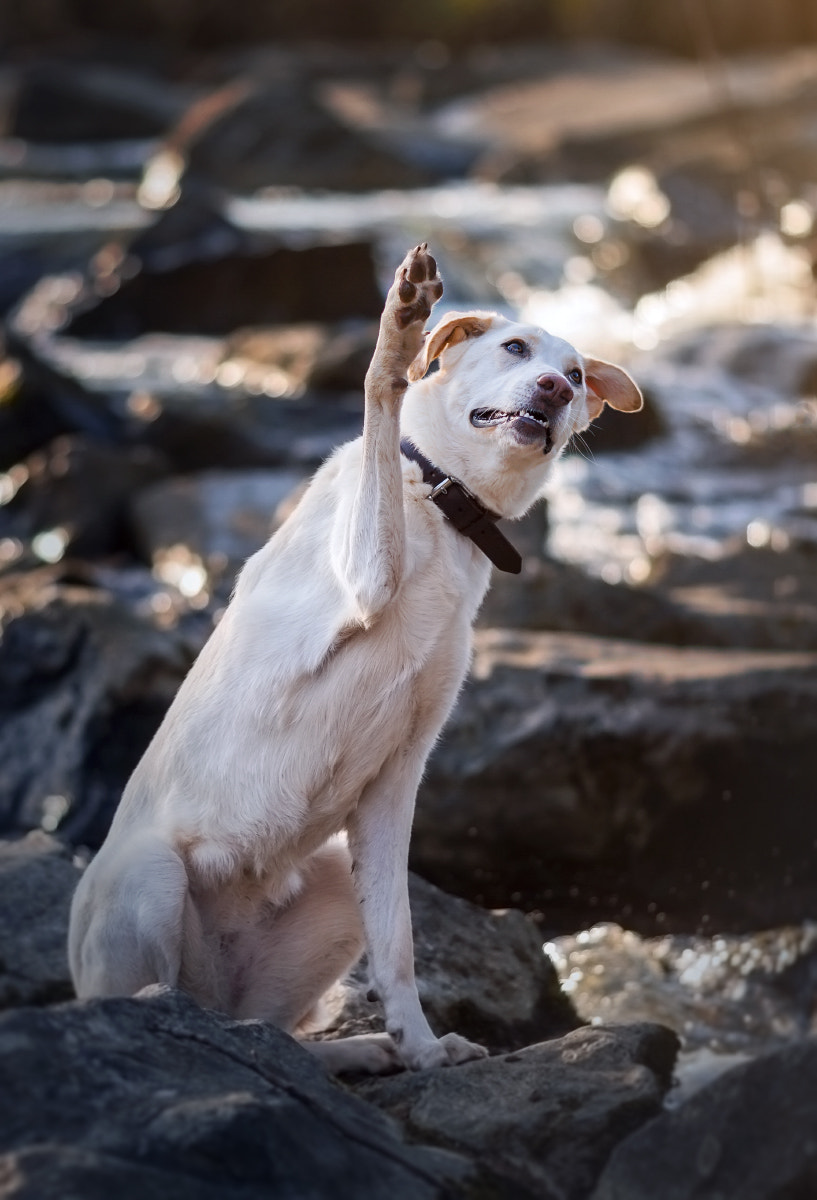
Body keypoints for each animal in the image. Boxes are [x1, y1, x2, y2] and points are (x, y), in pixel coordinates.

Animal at [68, 241, 643, 1070]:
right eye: (515, 349)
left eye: (573, 373)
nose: (555, 389)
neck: (446, 503)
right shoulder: (365, 576)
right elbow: (382, 403)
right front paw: (400, 327)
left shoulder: (396, 780)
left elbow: (397, 939)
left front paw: (423, 1048)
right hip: (149, 874)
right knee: (160, 999)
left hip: (327, 882)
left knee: (269, 1029)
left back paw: (354, 1050)